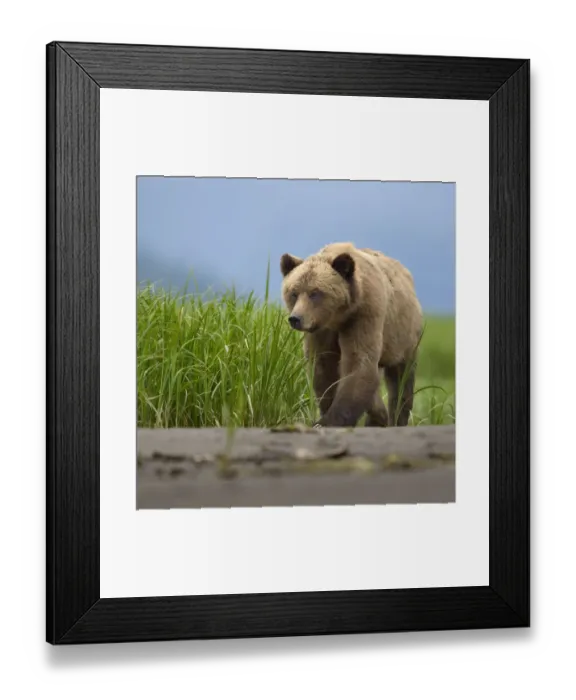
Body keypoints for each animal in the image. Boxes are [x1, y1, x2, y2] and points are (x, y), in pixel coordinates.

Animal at [280, 242, 423, 428]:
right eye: (293, 293)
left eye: (315, 293)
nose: (295, 318)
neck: (338, 317)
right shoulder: (321, 331)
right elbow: (323, 370)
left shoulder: (364, 314)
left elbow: (358, 363)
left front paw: (325, 422)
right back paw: (377, 417)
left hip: (403, 336)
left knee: (401, 379)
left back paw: (396, 418)